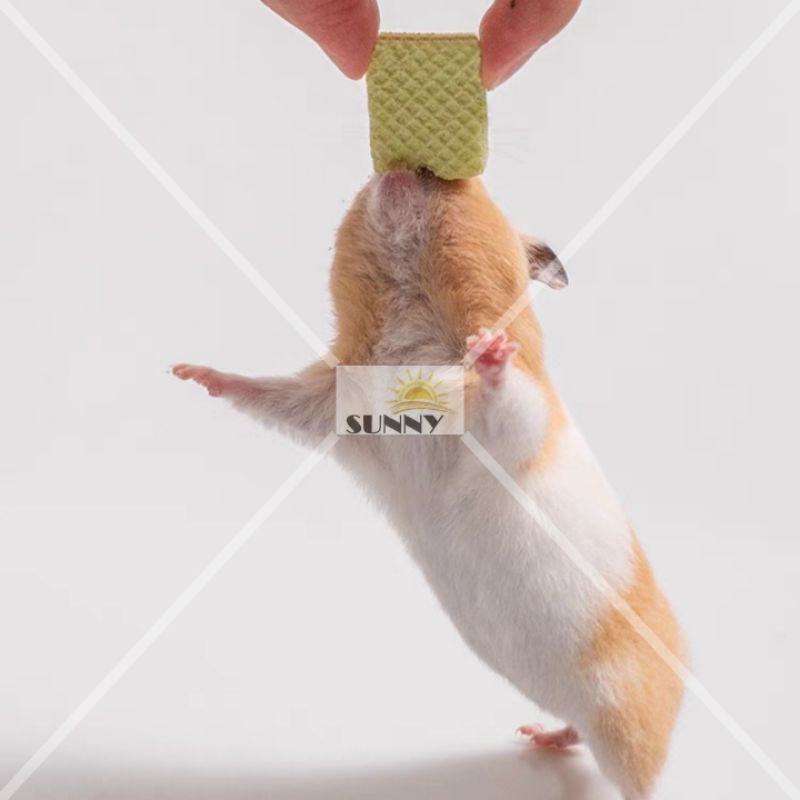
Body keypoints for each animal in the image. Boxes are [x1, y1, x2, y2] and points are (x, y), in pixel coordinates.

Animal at [173, 169, 685, 800]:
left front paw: (489, 349)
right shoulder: (331, 406)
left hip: (627, 722)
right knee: (575, 731)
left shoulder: (517, 421)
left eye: (471, 191)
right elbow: (264, 393)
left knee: (638, 775)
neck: (408, 321)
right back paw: (537, 736)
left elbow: (508, 397)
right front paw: (189, 373)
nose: (399, 171)